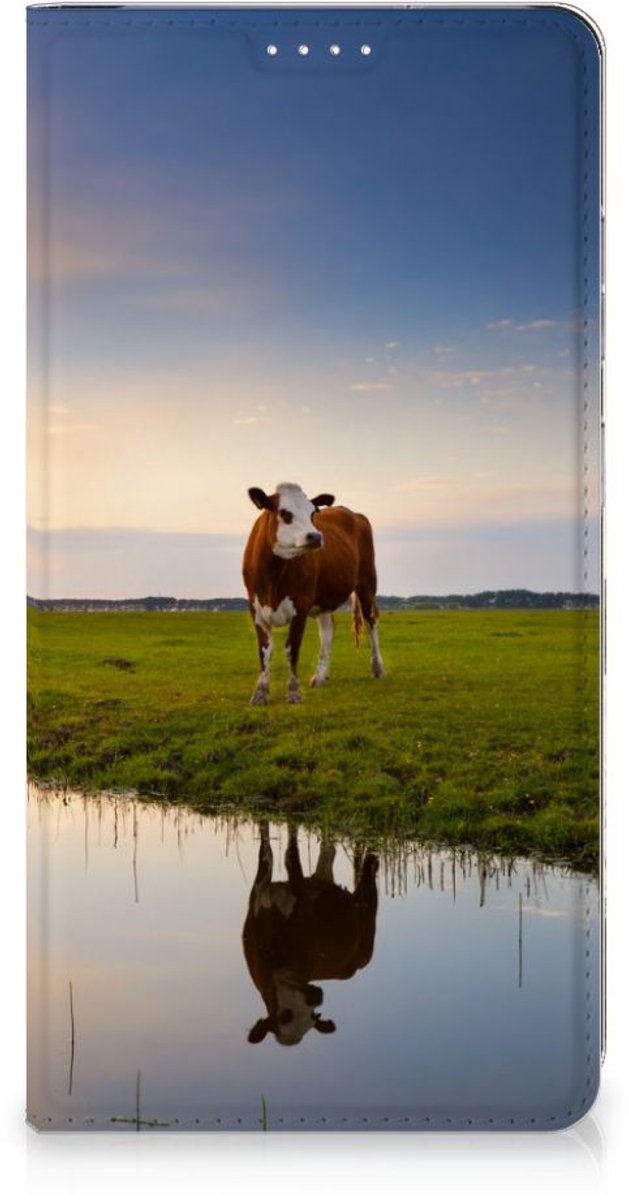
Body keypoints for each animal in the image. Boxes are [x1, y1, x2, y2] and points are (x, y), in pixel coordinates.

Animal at [242, 482, 384, 705]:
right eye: (285, 513)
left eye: (312, 513)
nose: (316, 536)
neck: (272, 577)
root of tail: (352, 513)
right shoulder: (255, 608)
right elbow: (265, 650)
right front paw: (260, 693)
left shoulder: (301, 605)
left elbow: (292, 648)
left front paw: (293, 693)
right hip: (323, 599)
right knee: (327, 631)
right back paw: (320, 676)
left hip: (367, 582)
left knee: (371, 622)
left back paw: (377, 668)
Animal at [242, 821, 379, 1047]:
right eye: (285, 1016)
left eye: (312, 1016)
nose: (317, 997)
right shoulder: (258, 894)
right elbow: (266, 849)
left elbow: (290, 855)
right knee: (328, 851)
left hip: (366, 933)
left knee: (369, 891)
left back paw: (372, 861)